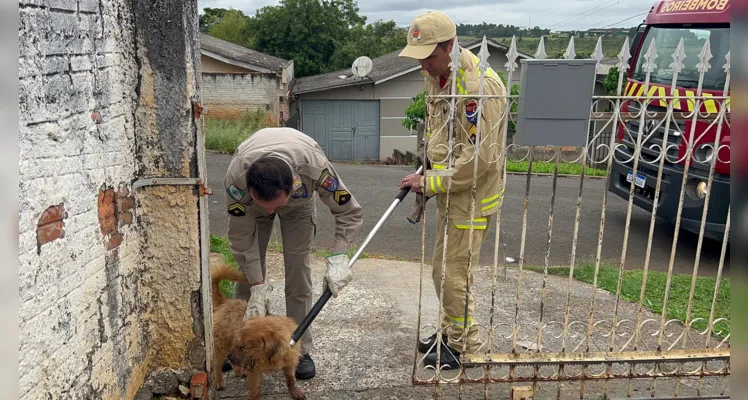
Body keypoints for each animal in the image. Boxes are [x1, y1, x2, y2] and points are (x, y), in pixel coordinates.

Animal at [209, 264, 306, 398]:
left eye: (244, 347)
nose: (230, 358)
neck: (272, 357)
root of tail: (226, 302)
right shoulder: (255, 372)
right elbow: (255, 391)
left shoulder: (289, 363)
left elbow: (291, 379)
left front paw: (295, 391)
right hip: (220, 346)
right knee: (217, 365)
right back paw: (219, 382)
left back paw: (239, 370)